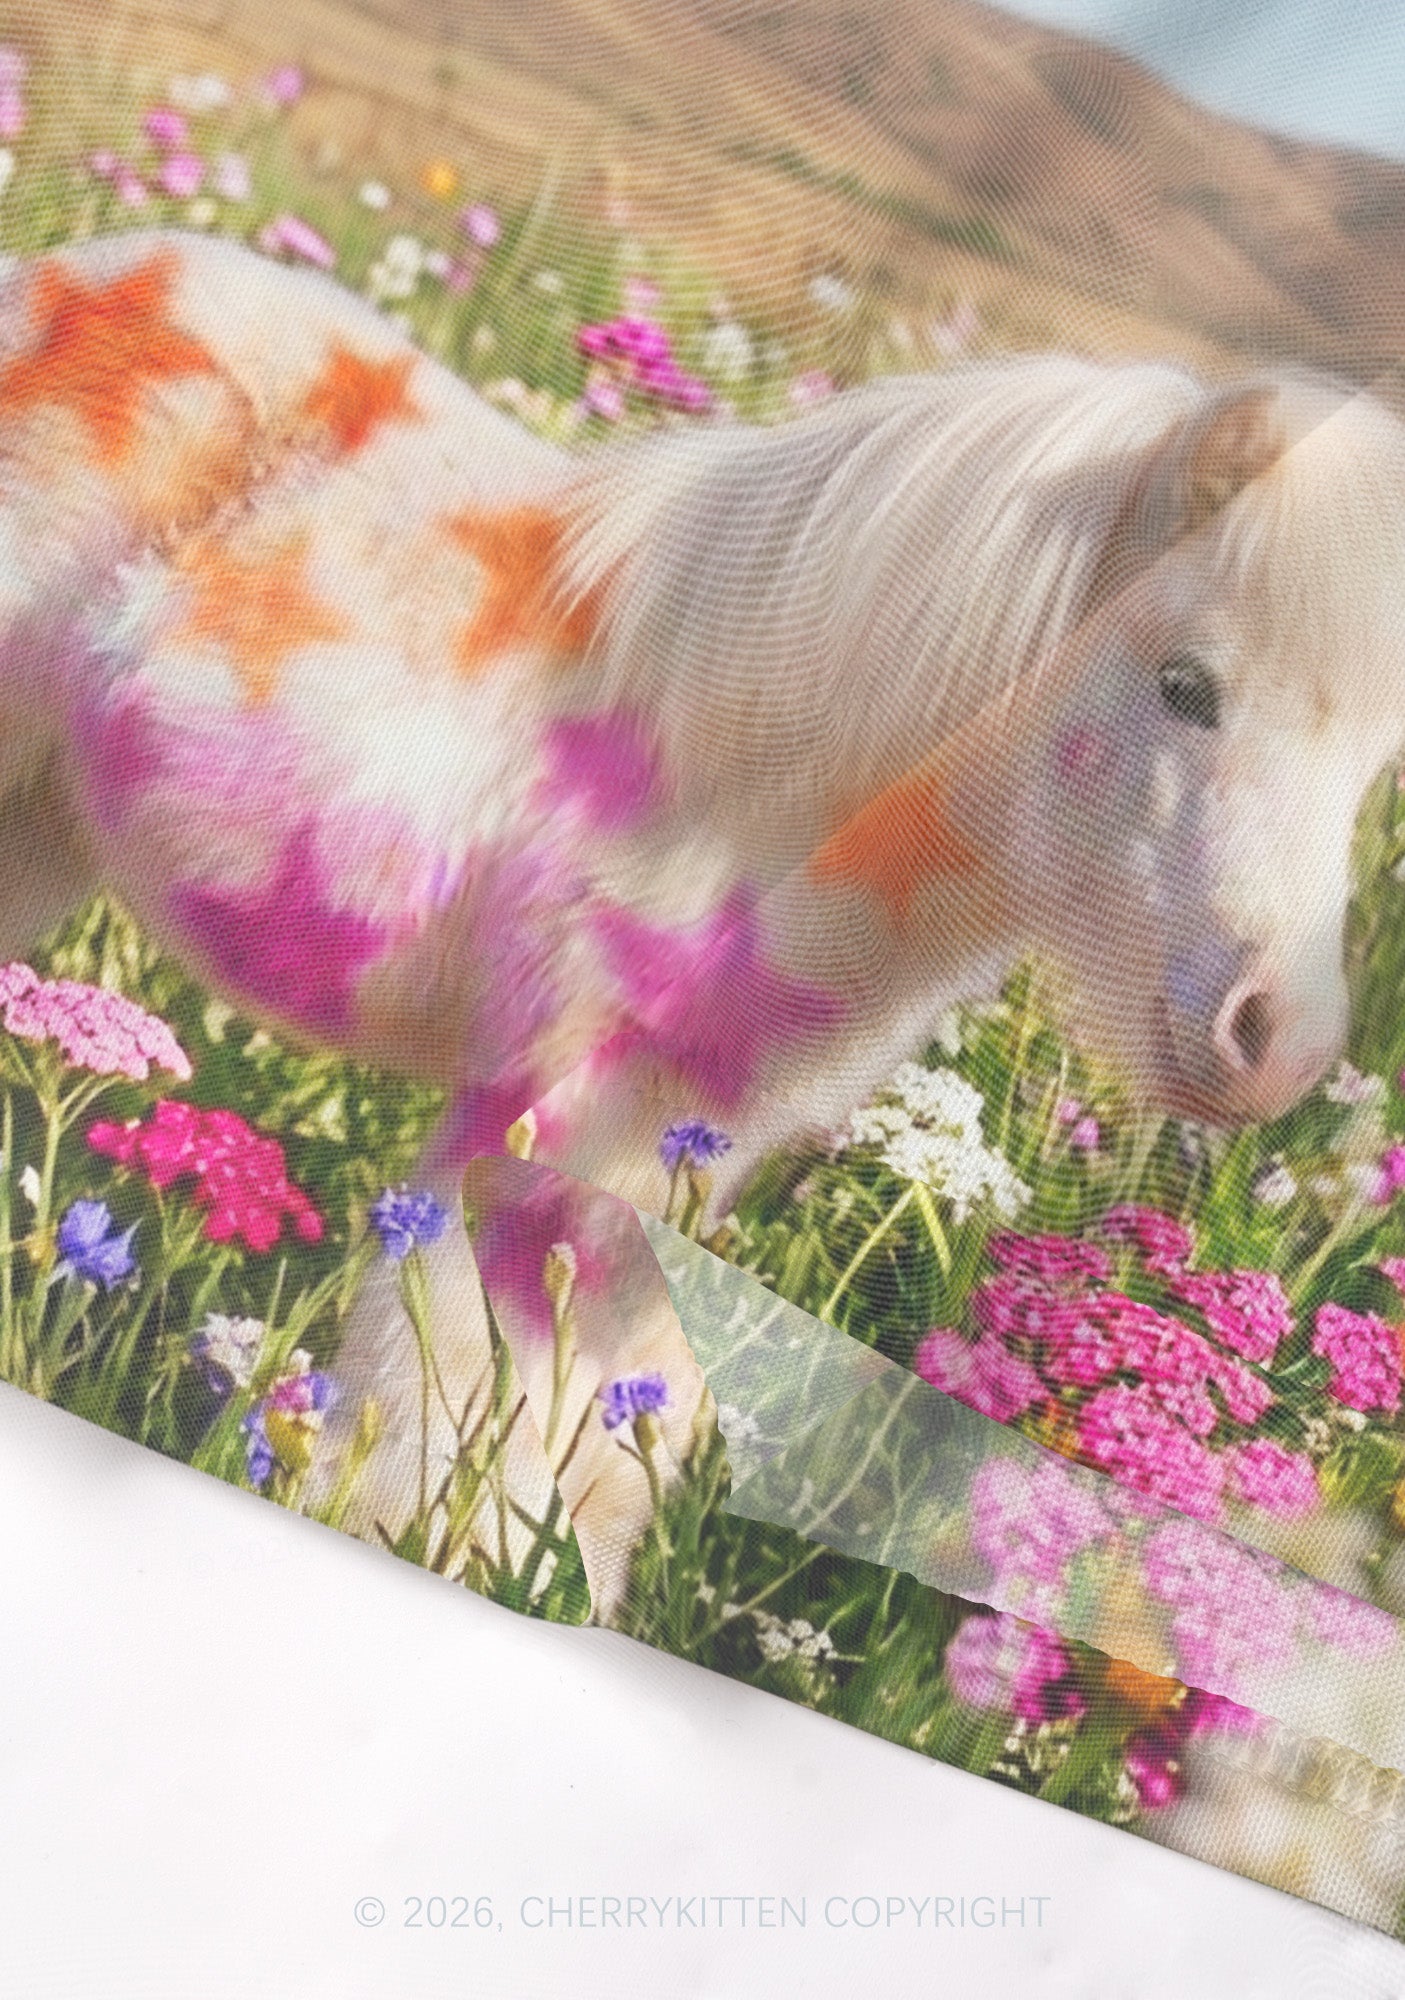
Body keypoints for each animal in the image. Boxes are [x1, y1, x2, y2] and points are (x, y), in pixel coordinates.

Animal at [3, 226, 1405, 1610]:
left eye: (1372, 762)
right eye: (1186, 685)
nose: (1276, 1041)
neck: (764, 789)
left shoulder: (681, 1153)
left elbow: (613, 1416)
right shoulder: (536, 1116)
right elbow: (445, 1381)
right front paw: (413, 1534)